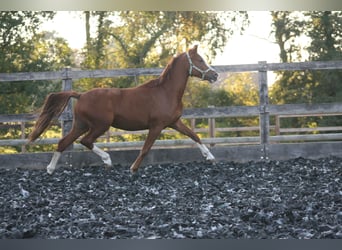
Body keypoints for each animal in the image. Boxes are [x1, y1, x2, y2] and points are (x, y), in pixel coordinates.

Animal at [28, 45, 218, 174]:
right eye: (200, 60)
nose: (215, 75)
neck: (166, 92)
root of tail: (80, 95)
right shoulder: (156, 126)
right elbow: (145, 148)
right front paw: (133, 168)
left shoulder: (174, 122)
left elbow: (194, 136)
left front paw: (210, 157)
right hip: (100, 125)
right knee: (86, 141)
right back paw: (107, 160)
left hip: (81, 125)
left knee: (63, 142)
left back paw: (50, 169)